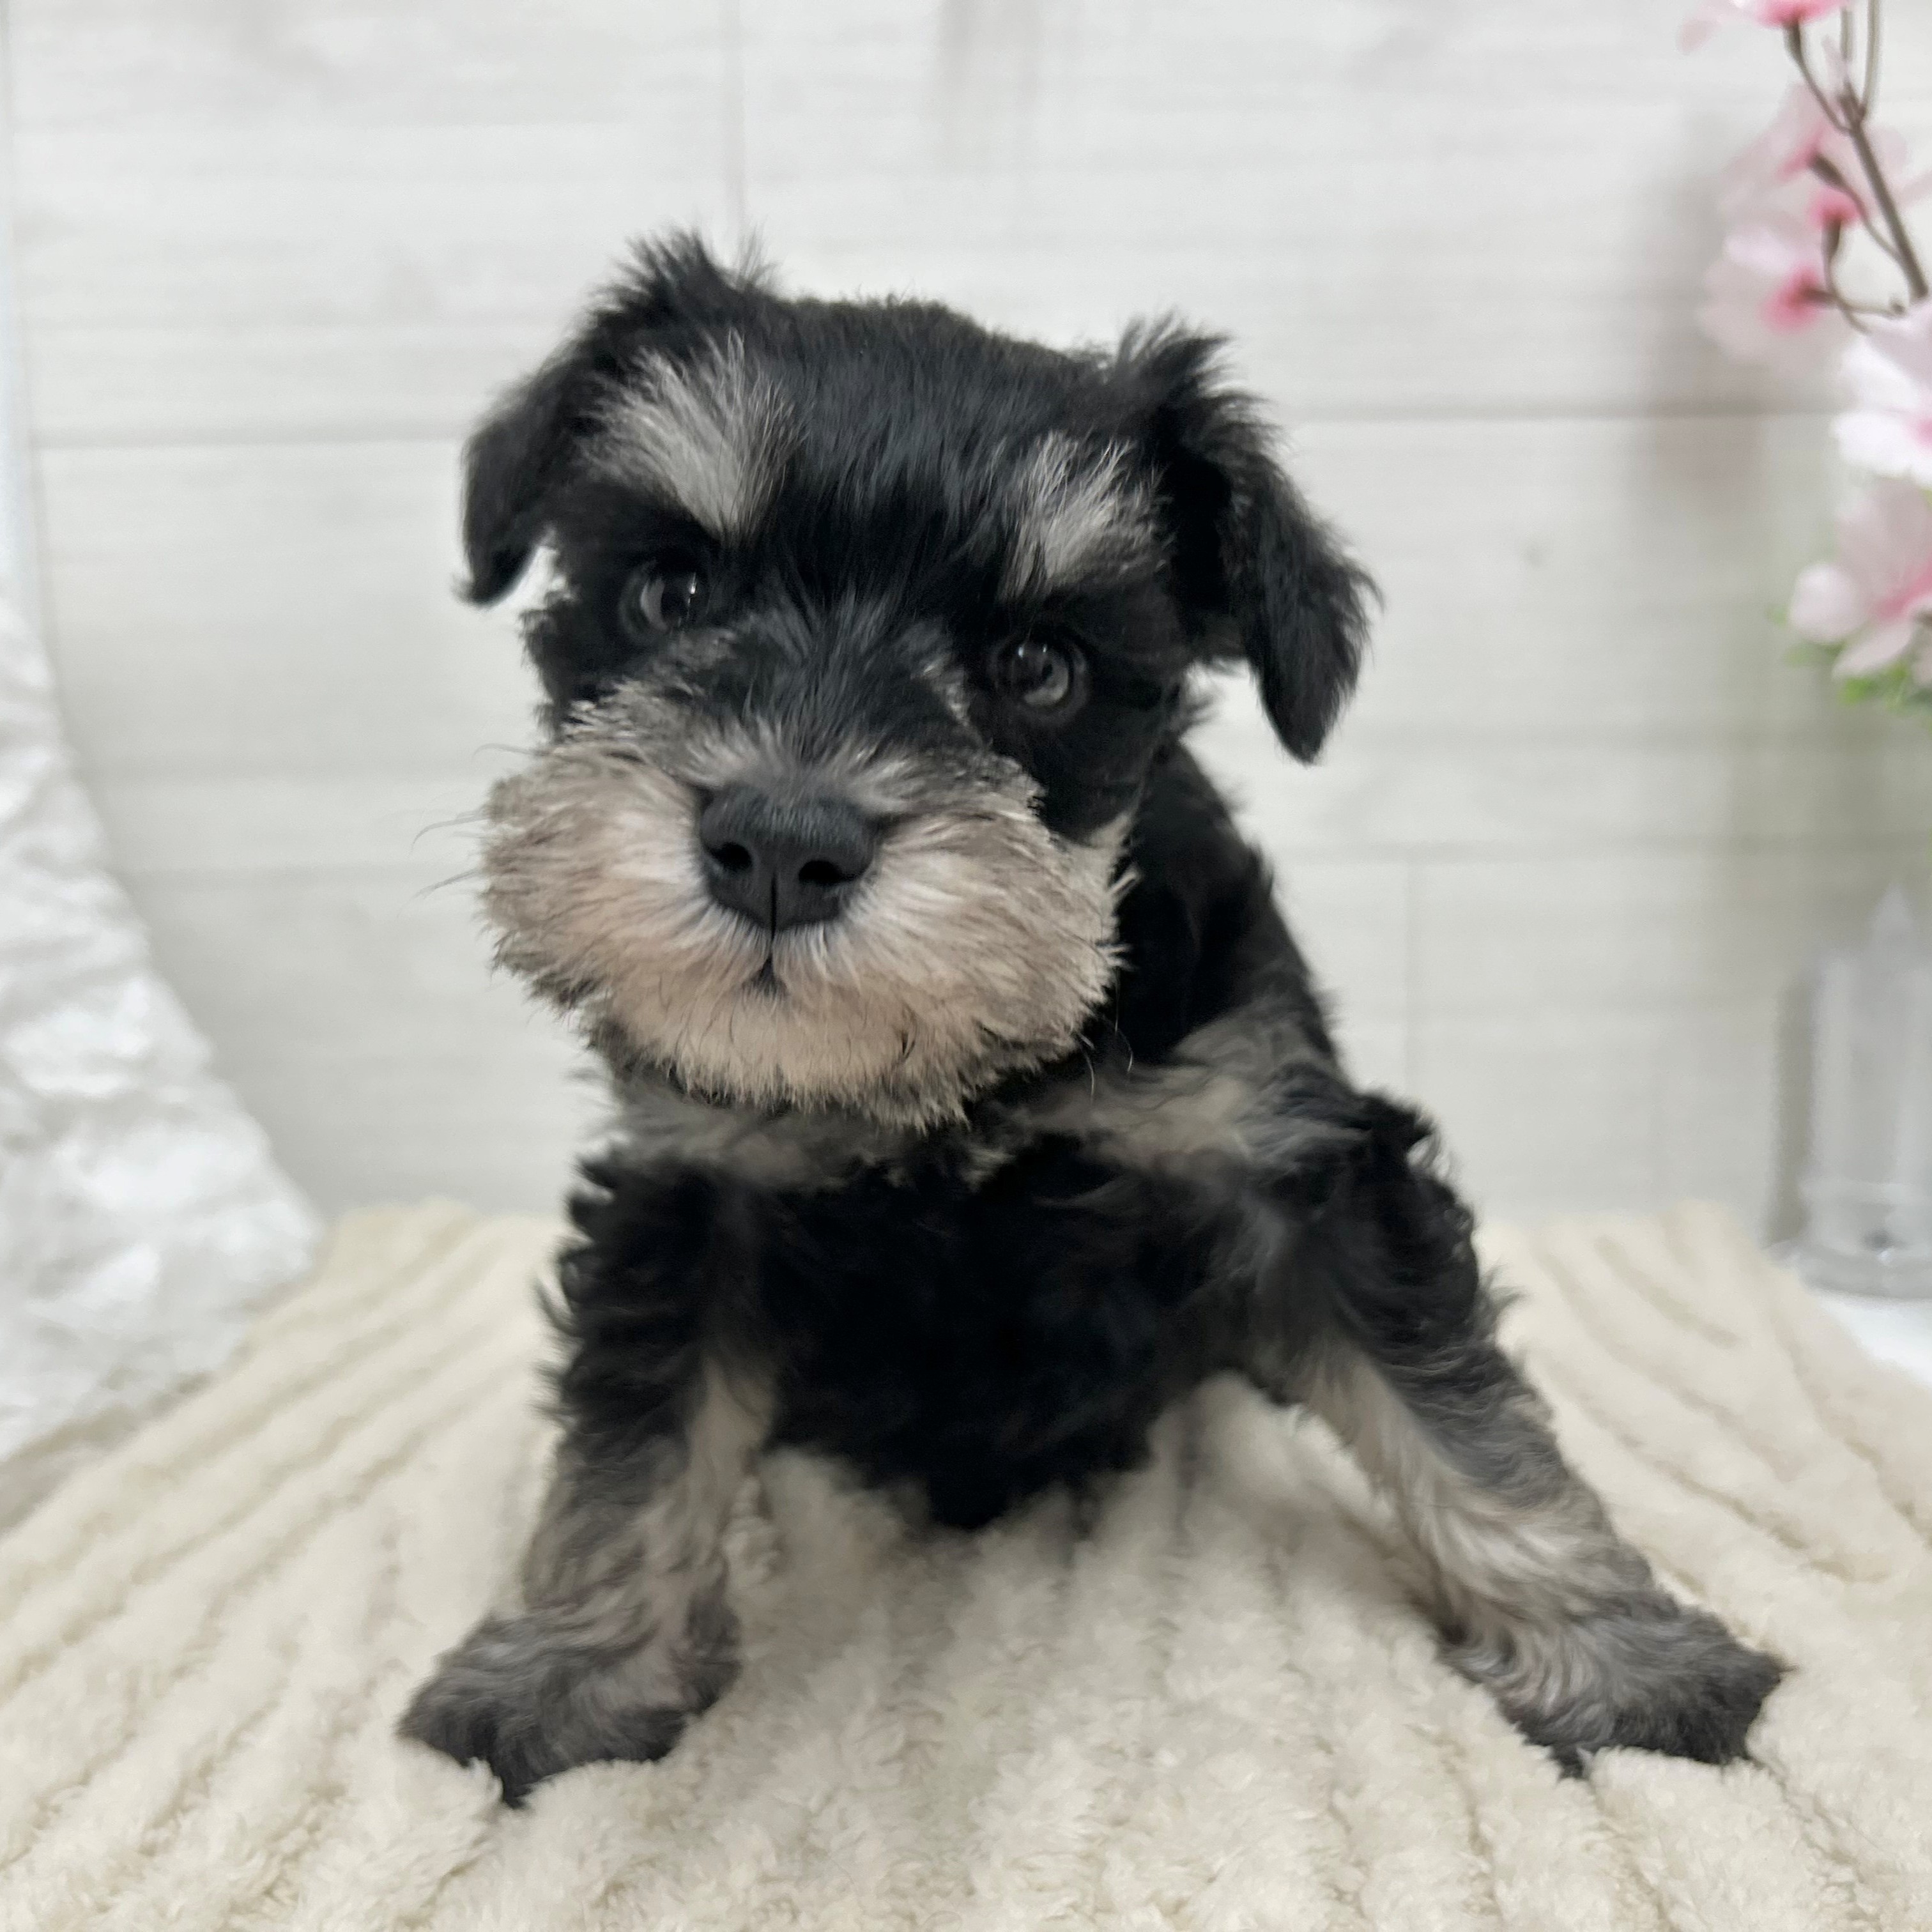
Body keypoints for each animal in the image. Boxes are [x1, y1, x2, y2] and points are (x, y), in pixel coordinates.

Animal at [400, 235, 1782, 1804]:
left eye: (1039, 666)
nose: (780, 843)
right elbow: (634, 1441)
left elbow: (1457, 1413)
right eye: (671, 590)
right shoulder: (693, 1192)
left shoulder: (1292, 1159)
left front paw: (1619, 1656)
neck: (958, 1077)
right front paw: (570, 1667)